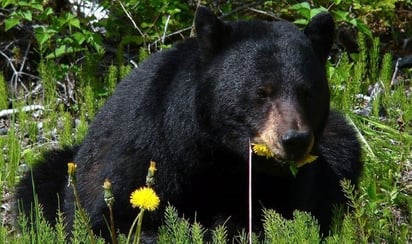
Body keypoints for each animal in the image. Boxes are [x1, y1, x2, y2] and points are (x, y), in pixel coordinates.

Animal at [16, 6, 360, 240]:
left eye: (307, 92)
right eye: (262, 92)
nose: (294, 140)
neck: (217, 153)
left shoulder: (287, 184)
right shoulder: (143, 149)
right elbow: (109, 217)